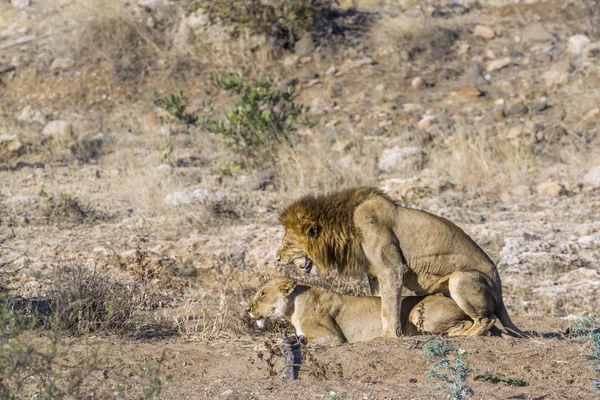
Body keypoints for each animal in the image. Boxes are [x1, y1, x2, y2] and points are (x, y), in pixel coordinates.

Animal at [276, 188, 524, 338]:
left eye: (287, 242)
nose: (277, 257)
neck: (346, 226)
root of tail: (500, 289)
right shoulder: (375, 274)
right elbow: (380, 302)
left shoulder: (391, 268)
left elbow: (388, 307)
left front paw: (389, 336)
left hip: (460, 278)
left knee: (487, 319)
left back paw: (462, 335)